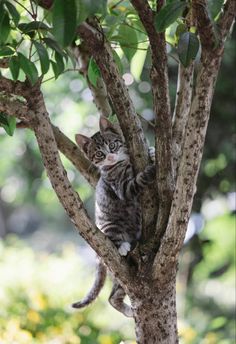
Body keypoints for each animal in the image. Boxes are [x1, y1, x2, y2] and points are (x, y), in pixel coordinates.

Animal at [73, 117, 156, 318]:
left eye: (112, 145)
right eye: (99, 154)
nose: (110, 157)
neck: (123, 163)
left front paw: (152, 152)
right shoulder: (122, 187)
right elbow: (136, 181)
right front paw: (149, 171)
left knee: (113, 296)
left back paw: (128, 310)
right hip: (110, 224)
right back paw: (123, 246)